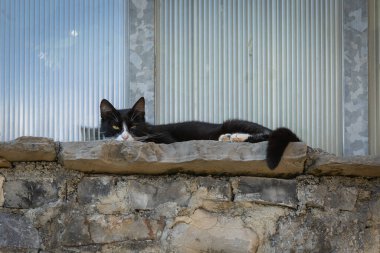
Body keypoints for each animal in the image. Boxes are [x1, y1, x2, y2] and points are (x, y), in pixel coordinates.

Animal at [99, 97, 302, 170]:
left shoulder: (166, 138)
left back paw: (236, 137)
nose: (125, 136)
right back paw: (228, 138)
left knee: (266, 134)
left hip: (234, 123)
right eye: (116, 127)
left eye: (133, 126)